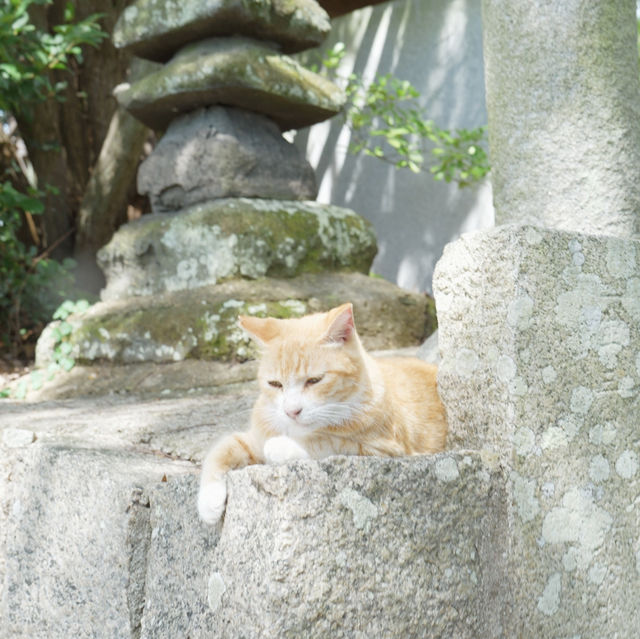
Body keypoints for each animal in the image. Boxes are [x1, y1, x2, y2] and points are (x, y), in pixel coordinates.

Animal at [198, 302, 448, 524]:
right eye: (275, 384)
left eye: (314, 380)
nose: (292, 411)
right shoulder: (256, 436)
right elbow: (223, 448)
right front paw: (209, 500)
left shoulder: (383, 448)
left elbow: (326, 442)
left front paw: (283, 445)